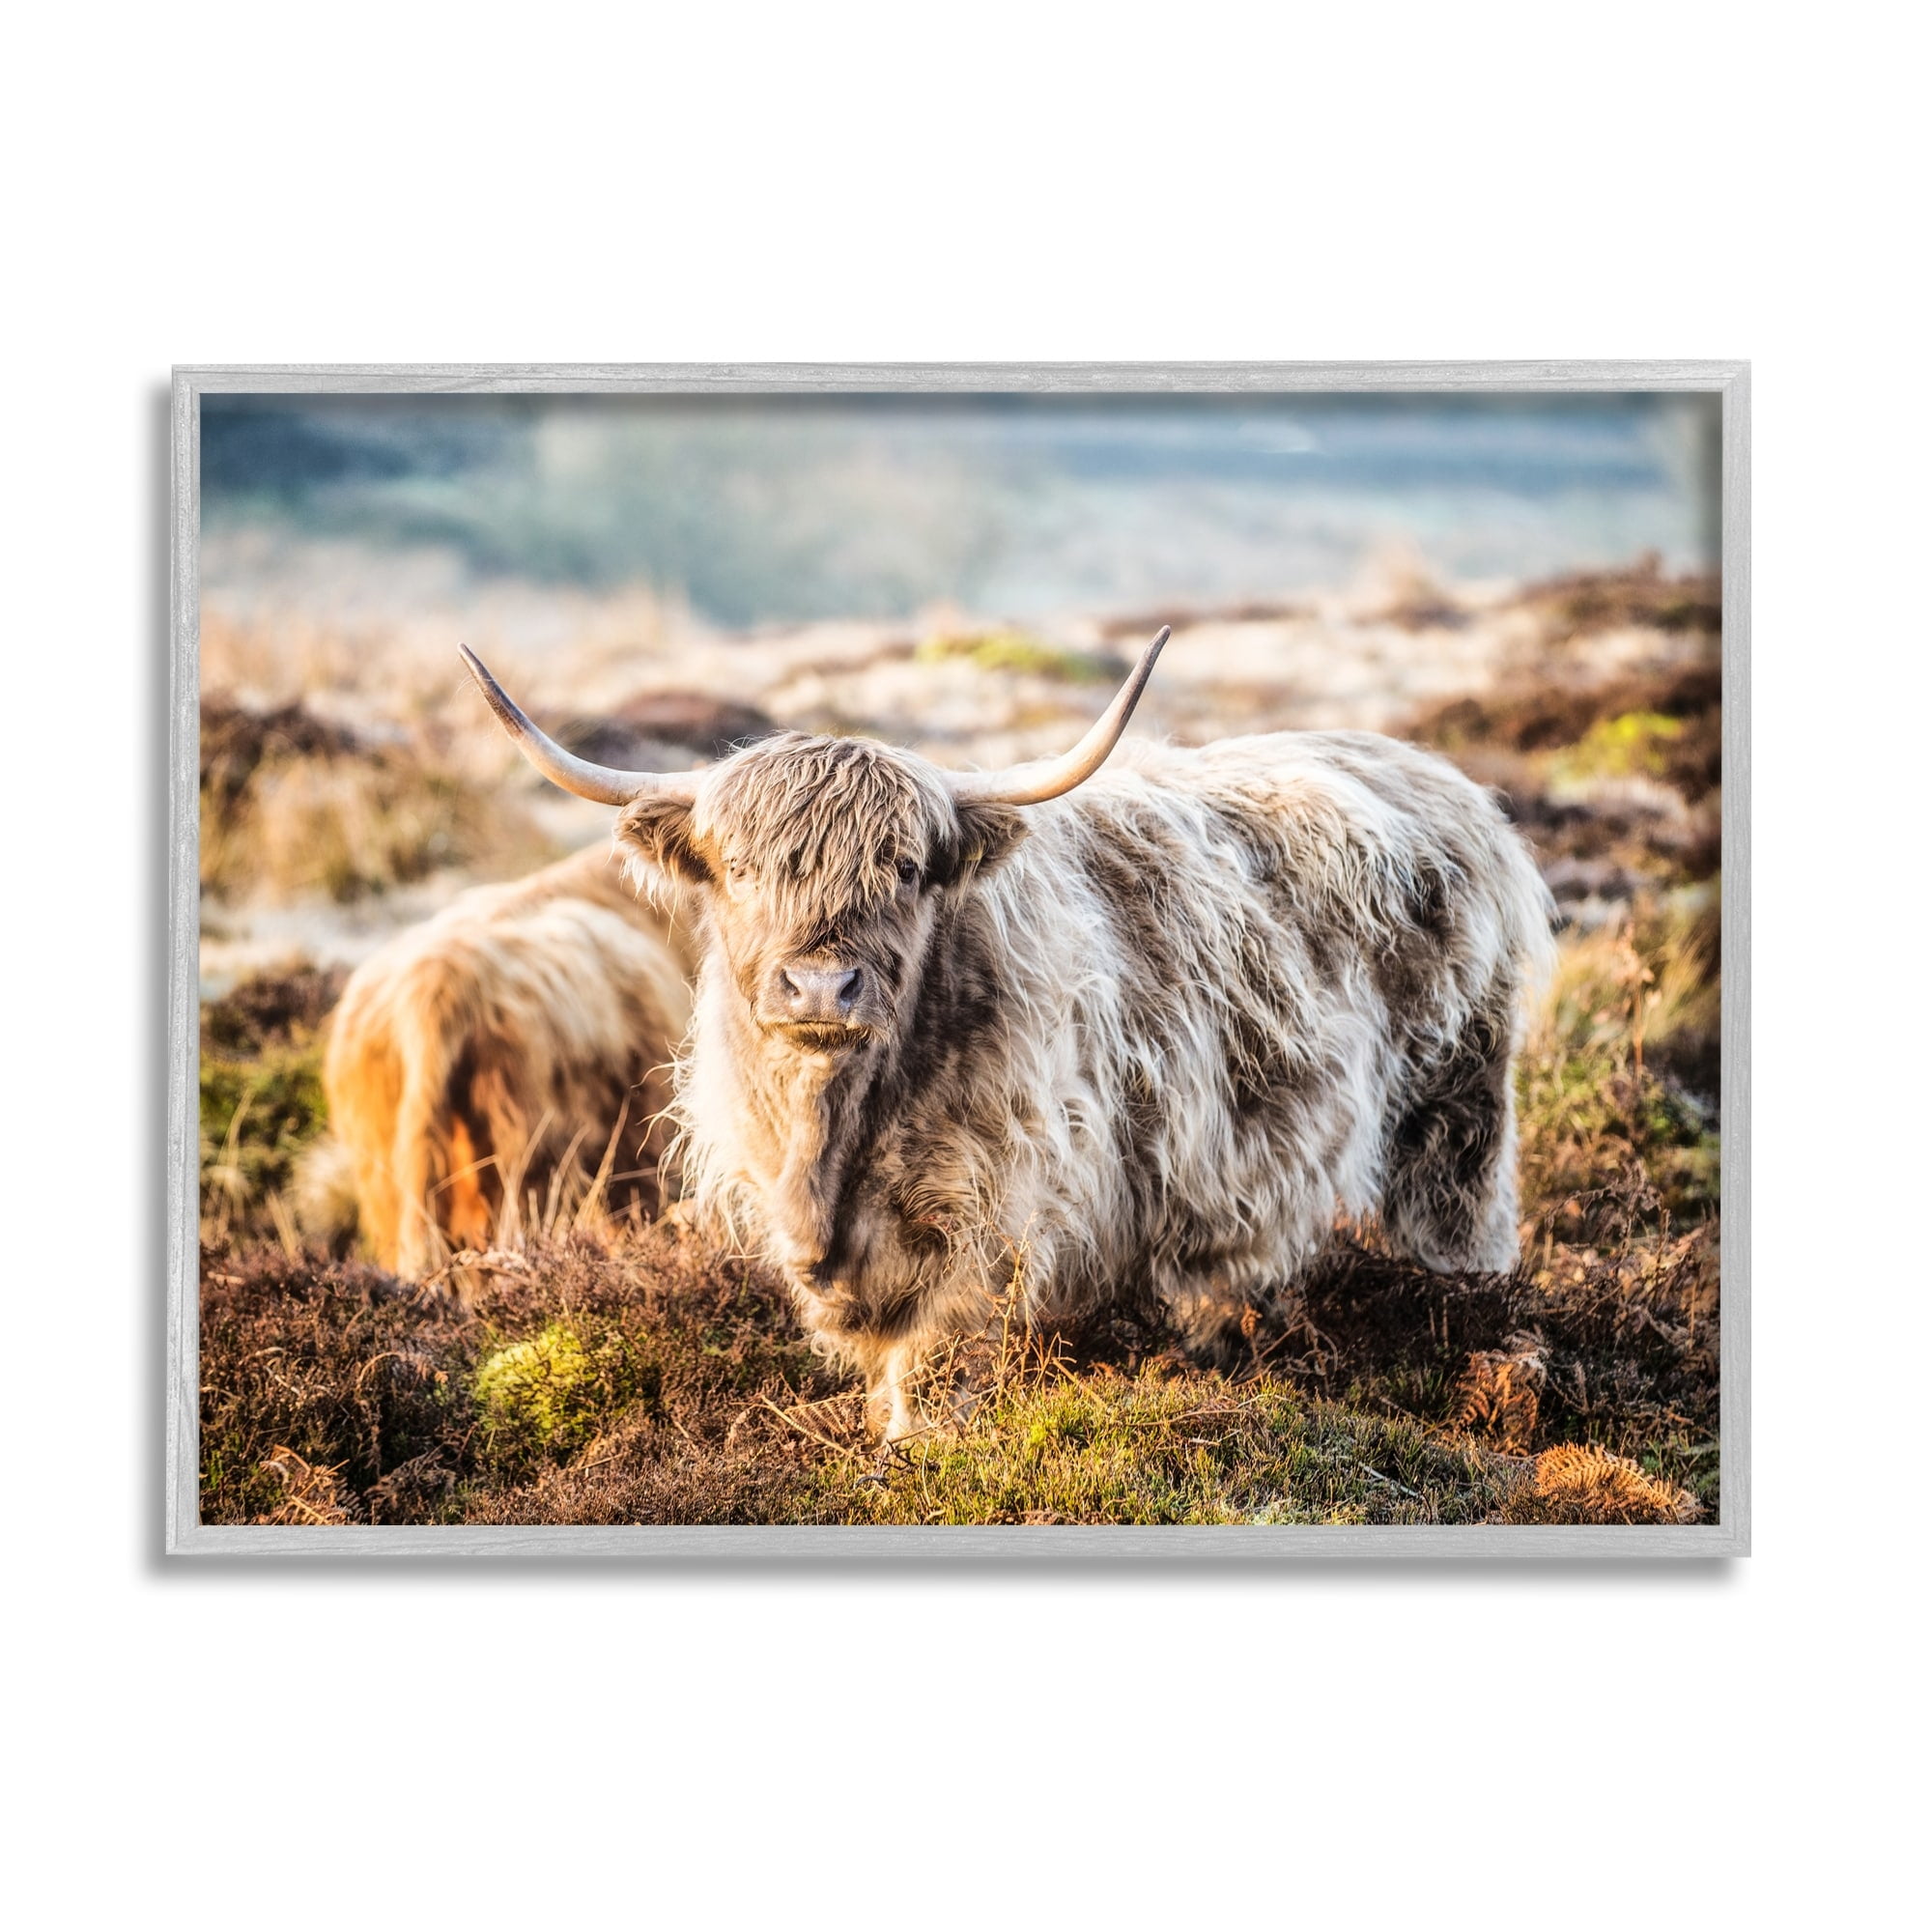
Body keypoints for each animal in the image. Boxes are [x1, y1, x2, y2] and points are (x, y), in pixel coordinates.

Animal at [460, 630, 1555, 1436]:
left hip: (1457, 1112)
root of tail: (1442, 780)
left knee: (1458, 1222)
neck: (835, 1137)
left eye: (905, 868)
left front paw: (914, 1449)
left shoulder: (986, 1219)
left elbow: (935, 1362)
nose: (820, 985)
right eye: (735, 867)